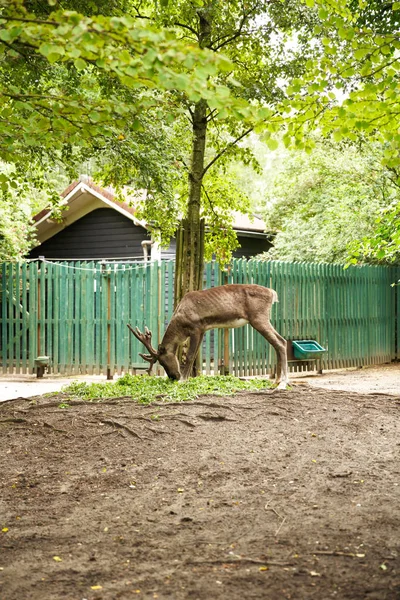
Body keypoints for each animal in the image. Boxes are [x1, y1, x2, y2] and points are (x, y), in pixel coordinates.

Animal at [128, 284, 288, 390]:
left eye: (162, 361)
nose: (174, 377)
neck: (180, 323)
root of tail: (272, 293)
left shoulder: (196, 328)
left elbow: (190, 356)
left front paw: (183, 380)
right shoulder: (203, 330)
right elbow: (194, 356)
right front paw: (187, 379)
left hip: (258, 318)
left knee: (280, 342)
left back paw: (283, 383)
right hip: (262, 319)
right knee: (280, 341)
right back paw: (276, 381)